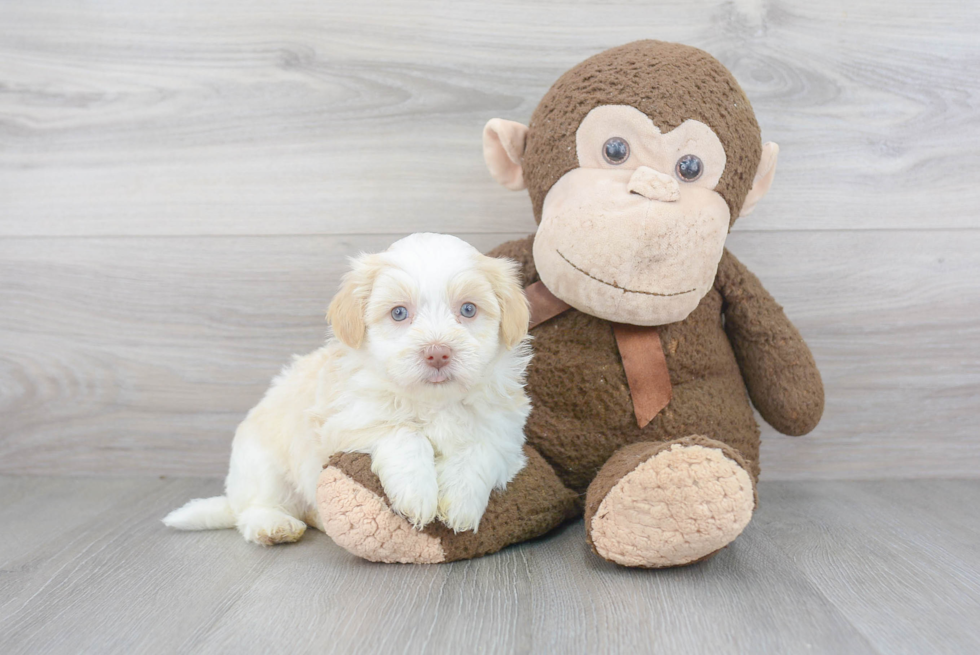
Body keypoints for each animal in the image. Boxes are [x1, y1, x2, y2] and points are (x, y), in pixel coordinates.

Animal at [165, 233, 532, 544]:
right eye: (399, 313)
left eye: (468, 309)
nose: (438, 352)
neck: (433, 402)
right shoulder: (349, 421)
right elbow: (402, 433)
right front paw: (417, 493)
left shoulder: (505, 434)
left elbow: (480, 449)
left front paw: (460, 502)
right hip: (262, 463)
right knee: (254, 508)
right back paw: (274, 525)